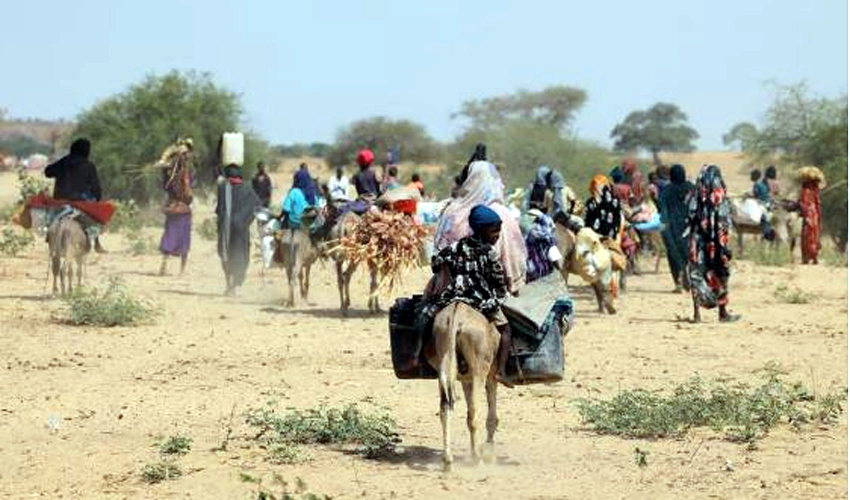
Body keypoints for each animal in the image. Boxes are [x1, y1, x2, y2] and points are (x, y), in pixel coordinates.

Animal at [428, 300, 500, 468]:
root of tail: (457, 313)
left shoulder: (466, 380)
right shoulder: (489, 375)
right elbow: (490, 417)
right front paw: (488, 453)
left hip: (444, 357)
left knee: (445, 408)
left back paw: (448, 461)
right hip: (479, 370)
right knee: (475, 413)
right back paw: (478, 460)